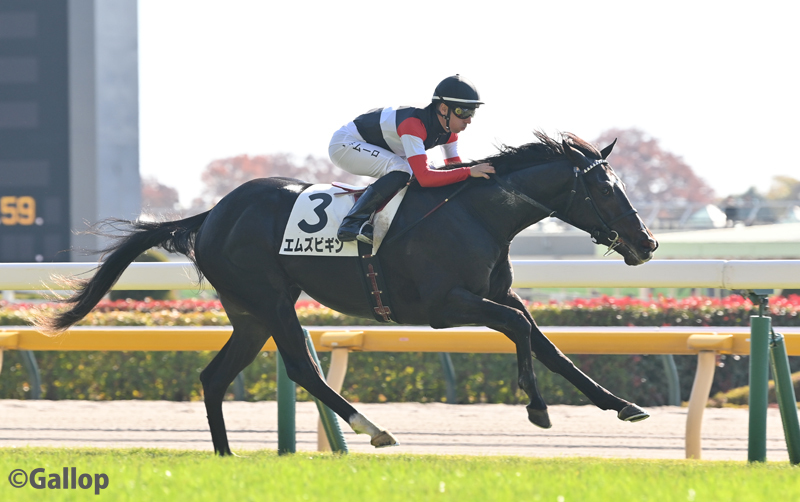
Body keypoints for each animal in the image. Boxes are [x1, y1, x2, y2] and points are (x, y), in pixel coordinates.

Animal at [38, 132, 658, 456]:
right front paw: (536, 408)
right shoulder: (444, 307)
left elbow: (547, 343)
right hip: (270, 301)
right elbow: (522, 331)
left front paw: (621, 404)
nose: (647, 243)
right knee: (301, 368)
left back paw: (227, 456)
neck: (479, 214)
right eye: (607, 189)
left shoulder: (498, 295)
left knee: (215, 377)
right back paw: (372, 429)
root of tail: (211, 214)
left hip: (249, 314)